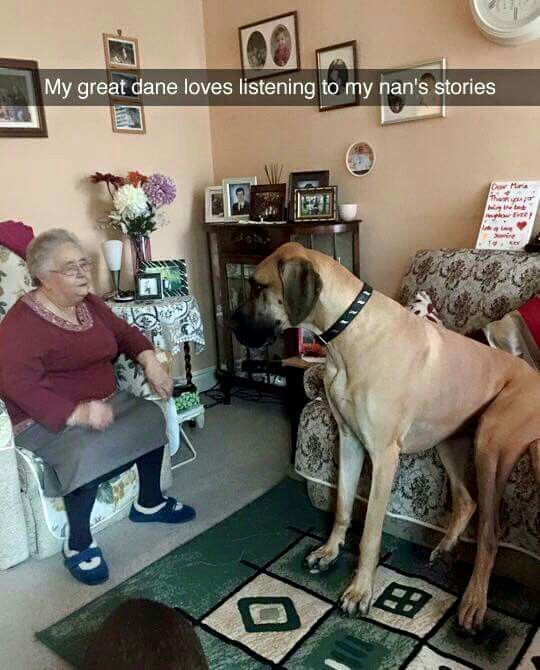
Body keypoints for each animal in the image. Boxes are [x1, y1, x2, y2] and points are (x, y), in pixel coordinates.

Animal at [232, 244, 540, 632]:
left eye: (258, 286)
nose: (231, 322)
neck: (347, 335)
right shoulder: (348, 440)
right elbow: (343, 506)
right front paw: (329, 551)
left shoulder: (383, 456)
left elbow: (370, 533)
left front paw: (360, 591)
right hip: (450, 439)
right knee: (467, 500)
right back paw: (445, 549)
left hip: (490, 444)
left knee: (490, 530)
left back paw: (473, 601)